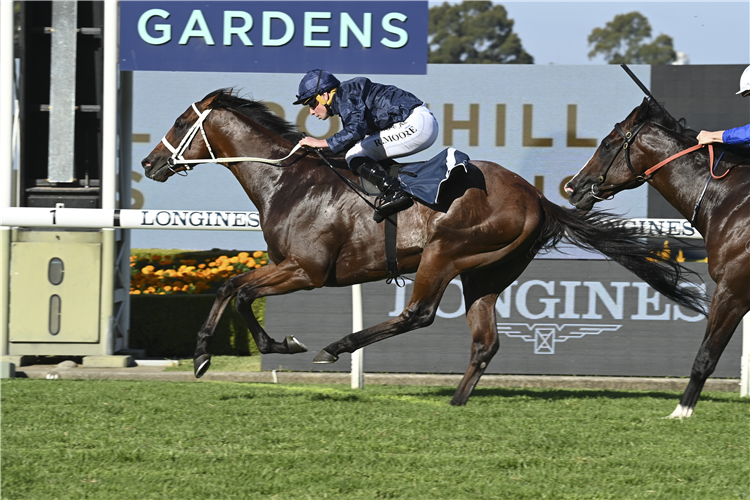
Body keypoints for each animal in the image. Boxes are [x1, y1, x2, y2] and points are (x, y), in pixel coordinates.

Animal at [142, 91, 712, 406]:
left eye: (180, 123)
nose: (148, 163)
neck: (287, 180)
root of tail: (536, 197)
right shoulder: (289, 266)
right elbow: (230, 287)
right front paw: (214, 352)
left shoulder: (306, 269)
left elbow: (236, 289)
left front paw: (240, 350)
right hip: (486, 273)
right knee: (484, 341)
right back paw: (456, 402)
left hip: (444, 253)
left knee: (418, 313)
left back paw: (336, 347)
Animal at [568, 97, 748, 418]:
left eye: (606, 144)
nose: (572, 187)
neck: (727, 199)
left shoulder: (732, 289)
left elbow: (706, 356)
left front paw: (681, 411)